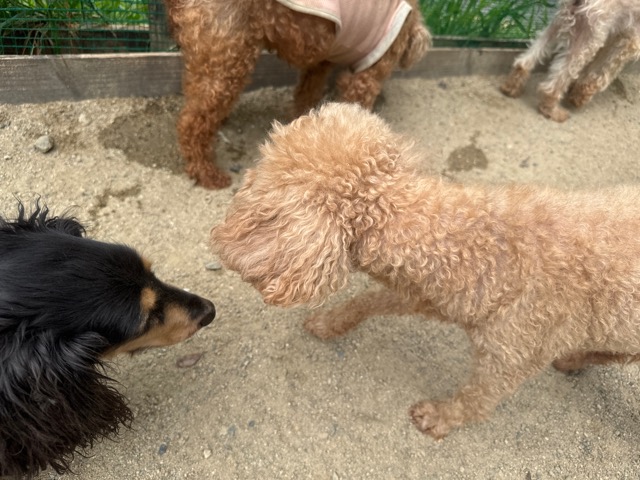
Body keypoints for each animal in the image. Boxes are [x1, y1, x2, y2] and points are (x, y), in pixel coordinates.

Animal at [164, 0, 431, 188]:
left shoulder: (320, 63)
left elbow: (307, 95)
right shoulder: (365, 78)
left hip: (210, 51)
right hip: (228, 52)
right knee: (189, 122)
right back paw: (206, 173)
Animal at [211, 102, 640, 439]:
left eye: (264, 163)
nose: (240, 179)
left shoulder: (509, 358)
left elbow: (477, 400)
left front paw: (440, 418)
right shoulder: (428, 295)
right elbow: (369, 300)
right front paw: (330, 322)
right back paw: (572, 360)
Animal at [500, 0, 640, 122]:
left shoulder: (616, 34)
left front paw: (577, 86)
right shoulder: (630, 41)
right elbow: (603, 71)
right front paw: (580, 94)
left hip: (560, 23)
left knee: (527, 59)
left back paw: (511, 86)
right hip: (588, 35)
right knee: (557, 80)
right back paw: (551, 109)